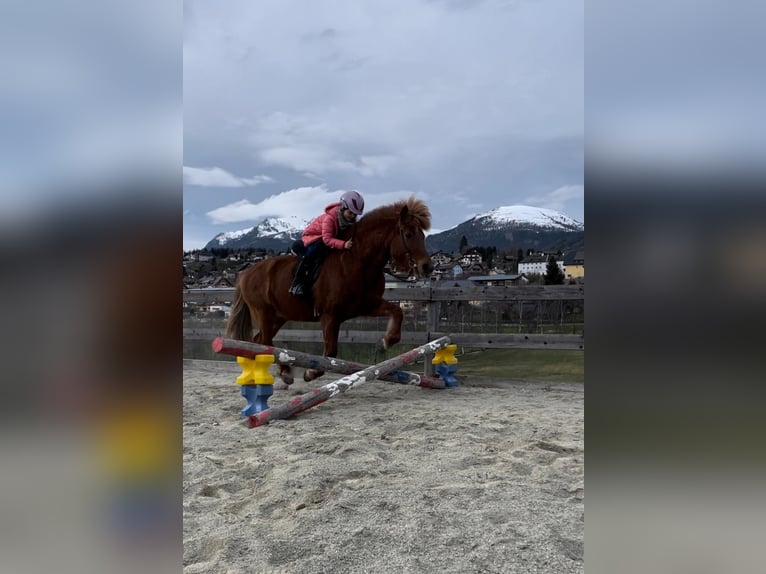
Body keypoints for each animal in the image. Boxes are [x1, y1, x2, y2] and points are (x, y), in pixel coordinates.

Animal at [226, 196, 433, 385]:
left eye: (423, 236)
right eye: (408, 234)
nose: (427, 267)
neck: (357, 261)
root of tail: (245, 273)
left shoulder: (367, 305)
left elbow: (397, 311)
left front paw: (387, 341)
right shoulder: (329, 316)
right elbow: (330, 353)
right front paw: (310, 373)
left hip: (278, 317)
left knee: (259, 341)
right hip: (263, 314)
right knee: (265, 342)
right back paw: (283, 372)